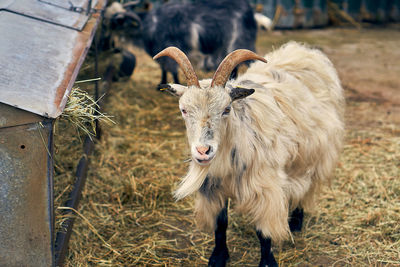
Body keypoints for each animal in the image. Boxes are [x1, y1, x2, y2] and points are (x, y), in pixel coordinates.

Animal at [105, 0, 256, 86]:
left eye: (118, 21)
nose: (105, 27)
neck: (150, 25)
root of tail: (249, 12)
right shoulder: (161, 51)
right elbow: (163, 69)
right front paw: (161, 83)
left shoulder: (169, 45)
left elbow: (172, 69)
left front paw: (176, 83)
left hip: (239, 40)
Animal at [153, 40, 344, 266]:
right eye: (183, 110)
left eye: (226, 109)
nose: (203, 150)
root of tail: (304, 51)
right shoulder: (215, 187)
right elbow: (221, 224)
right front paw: (218, 257)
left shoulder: (264, 187)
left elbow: (264, 231)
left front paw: (267, 262)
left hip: (315, 151)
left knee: (306, 185)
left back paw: (296, 221)